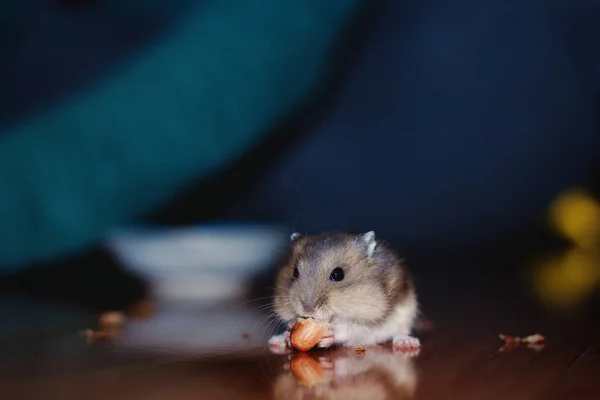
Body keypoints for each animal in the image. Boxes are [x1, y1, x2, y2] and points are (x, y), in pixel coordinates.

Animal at [270, 230, 420, 352]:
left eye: (338, 274)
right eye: (295, 272)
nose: (308, 309)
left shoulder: (370, 320)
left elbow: (352, 328)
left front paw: (329, 334)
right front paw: (289, 331)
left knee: (400, 332)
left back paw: (407, 343)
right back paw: (276, 341)